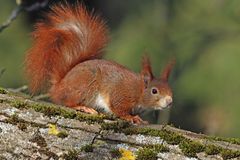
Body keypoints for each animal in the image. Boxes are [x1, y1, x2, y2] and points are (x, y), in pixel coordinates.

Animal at [24, 3, 174, 124]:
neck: (138, 90)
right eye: (154, 91)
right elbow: (118, 109)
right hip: (85, 87)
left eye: (169, 88)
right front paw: (131, 118)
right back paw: (83, 107)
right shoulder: (121, 95)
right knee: (67, 102)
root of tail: (59, 86)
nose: (170, 101)